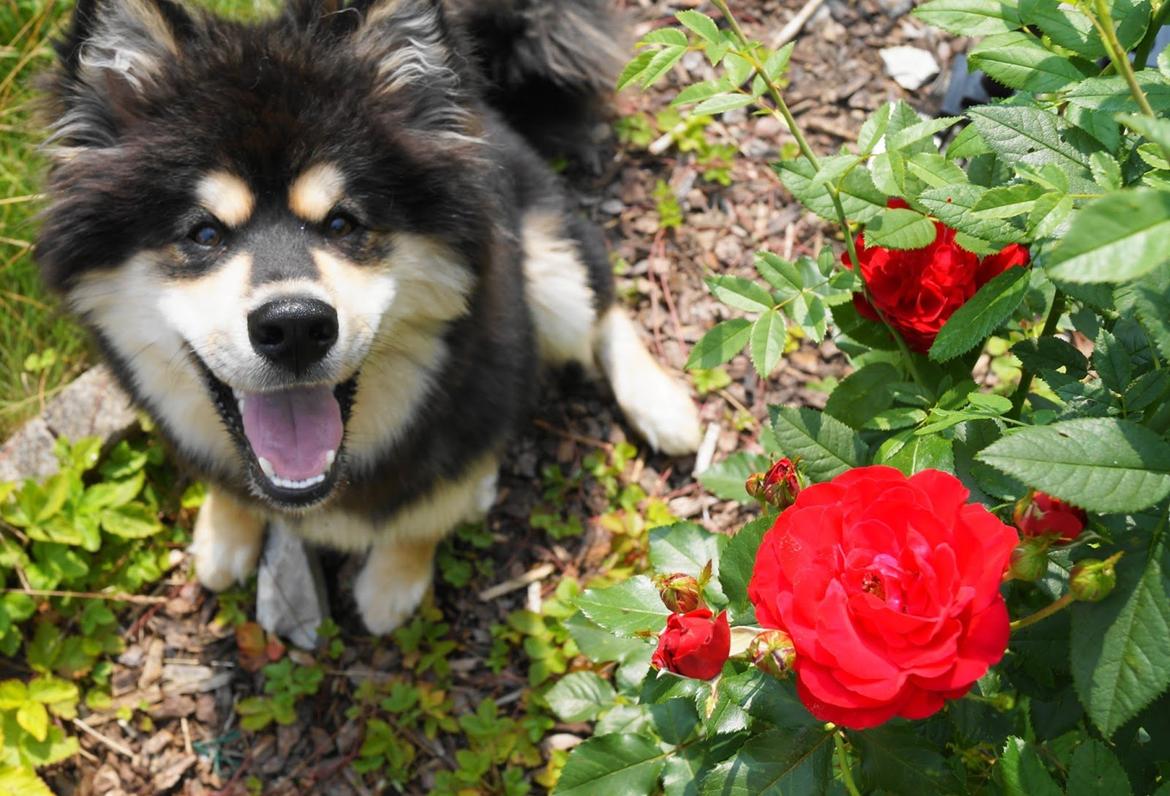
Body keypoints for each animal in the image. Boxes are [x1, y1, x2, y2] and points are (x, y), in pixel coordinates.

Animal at [36, 0, 697, 632]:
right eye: (202, 233)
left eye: (342, 223)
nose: (294, 327)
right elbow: (227, 484)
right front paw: (225, 529)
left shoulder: (476, 402)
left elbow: (427, 510)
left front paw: (396, 578)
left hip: (554, 276)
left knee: (603, 305)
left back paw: (661, 405)